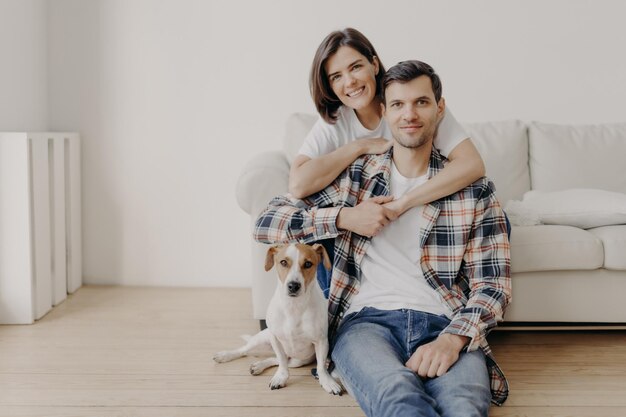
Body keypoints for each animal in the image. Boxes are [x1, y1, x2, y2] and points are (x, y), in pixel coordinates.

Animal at [213, 240, 342, 394]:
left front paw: (327, 381)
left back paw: (258, 366)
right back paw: (225, 355)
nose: (293, 286)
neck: (293, 306)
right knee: (245, 350)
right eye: (283, 262)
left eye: (308, 264)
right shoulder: (275, 338)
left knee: (275, 359)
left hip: (298, 360)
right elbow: (281, 361)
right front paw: (281, 377)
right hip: (262, 338)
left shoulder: (321, 341)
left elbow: (321, 367)